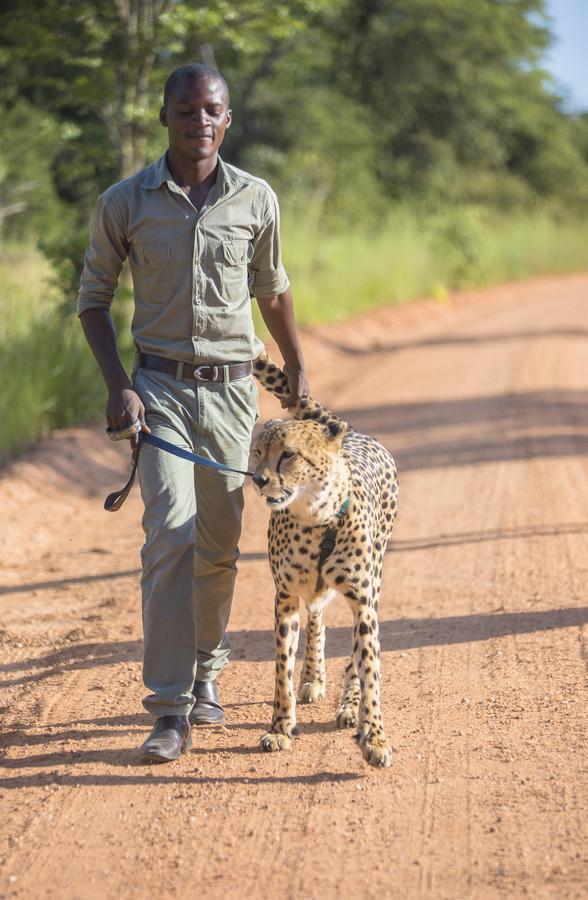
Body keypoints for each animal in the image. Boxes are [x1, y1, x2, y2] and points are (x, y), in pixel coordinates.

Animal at [250, 352, 398, 768]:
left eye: (288, 455)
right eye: (258, 452)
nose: (258, 479)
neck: (316, 517)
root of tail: (352, 434)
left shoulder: (363, 601)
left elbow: (370, 669)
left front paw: (374, 736)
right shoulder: (284, 596)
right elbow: (281, 668)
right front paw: (280, 728)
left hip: (373, 585)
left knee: (354, 653)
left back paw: (349, 707)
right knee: (316, 615)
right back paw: (313, 678)